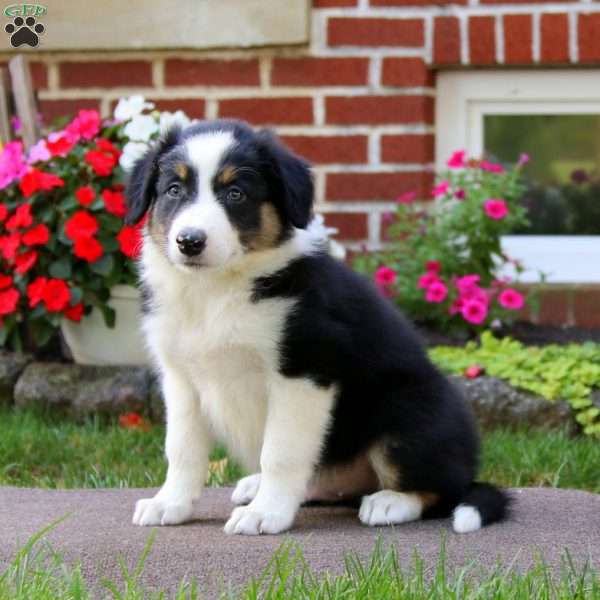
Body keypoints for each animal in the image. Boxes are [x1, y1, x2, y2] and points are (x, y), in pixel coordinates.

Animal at [125, 118, 506, 536]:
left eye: (236, 193)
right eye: (174, 190)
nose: (189, 241)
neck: (215, 291)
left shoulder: (304, 370)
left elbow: (280, 452)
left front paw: (265, 514)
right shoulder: (181, 378)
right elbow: (182, 449)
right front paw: (170, 504)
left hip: (407, 411)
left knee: (442, 490)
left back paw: (390, 502)